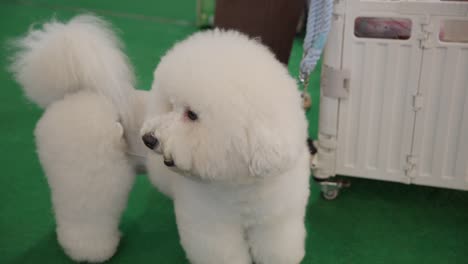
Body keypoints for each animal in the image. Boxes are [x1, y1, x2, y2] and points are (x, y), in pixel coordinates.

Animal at [10, 14, 310, 264]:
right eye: (170, 104)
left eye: (191, 114)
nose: (148, 139)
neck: (242, 184)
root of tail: (73, 93)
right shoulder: (210, 225)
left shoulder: (277, 221)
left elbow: (277, 248)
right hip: (86, 176)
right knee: (84, 215)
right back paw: (91, 250)